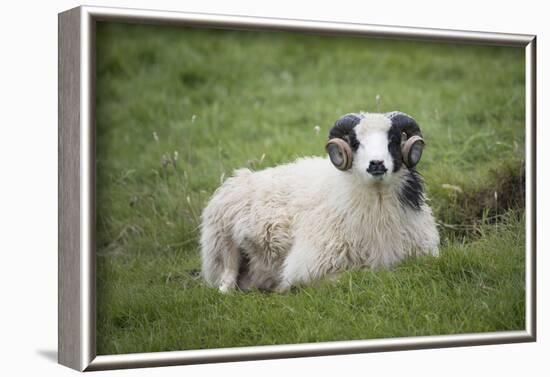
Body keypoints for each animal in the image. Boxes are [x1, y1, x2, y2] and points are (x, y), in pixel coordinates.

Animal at [201, 110, 442, 292]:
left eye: (393, 140)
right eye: (355, 142)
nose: (376, 164)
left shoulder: (424, 254)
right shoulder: (309, 266)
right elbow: (355, 275)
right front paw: (285, 288)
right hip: (223, 245)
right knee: (225, 285)